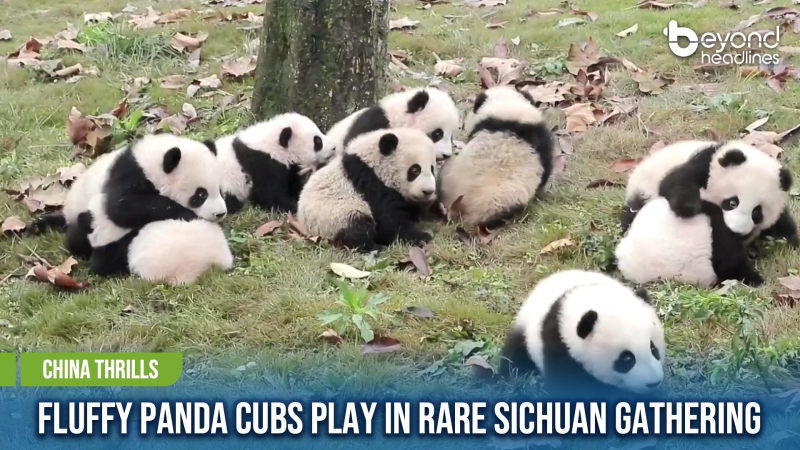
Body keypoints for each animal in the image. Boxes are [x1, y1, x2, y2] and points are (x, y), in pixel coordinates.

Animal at [62, 133, 227, 259]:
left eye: (220, 190)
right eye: (200, 195)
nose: (220, 213)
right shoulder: (129, 175)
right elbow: (120, 207)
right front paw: (185, 213)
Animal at [297, 128, 437, 251]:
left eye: (432, 168)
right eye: (415, 170)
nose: (428, 191)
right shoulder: (368, 181)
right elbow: (388, 221)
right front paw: (421, 236)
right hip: (333, 217)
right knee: (356, 228)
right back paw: (374, 247)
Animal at [622, 140, 797, 246]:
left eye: (756, 213)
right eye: (732, 202)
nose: (736, 231)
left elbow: (783, 221)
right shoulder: (704, 164)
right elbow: (676, 181)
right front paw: (688, 208)